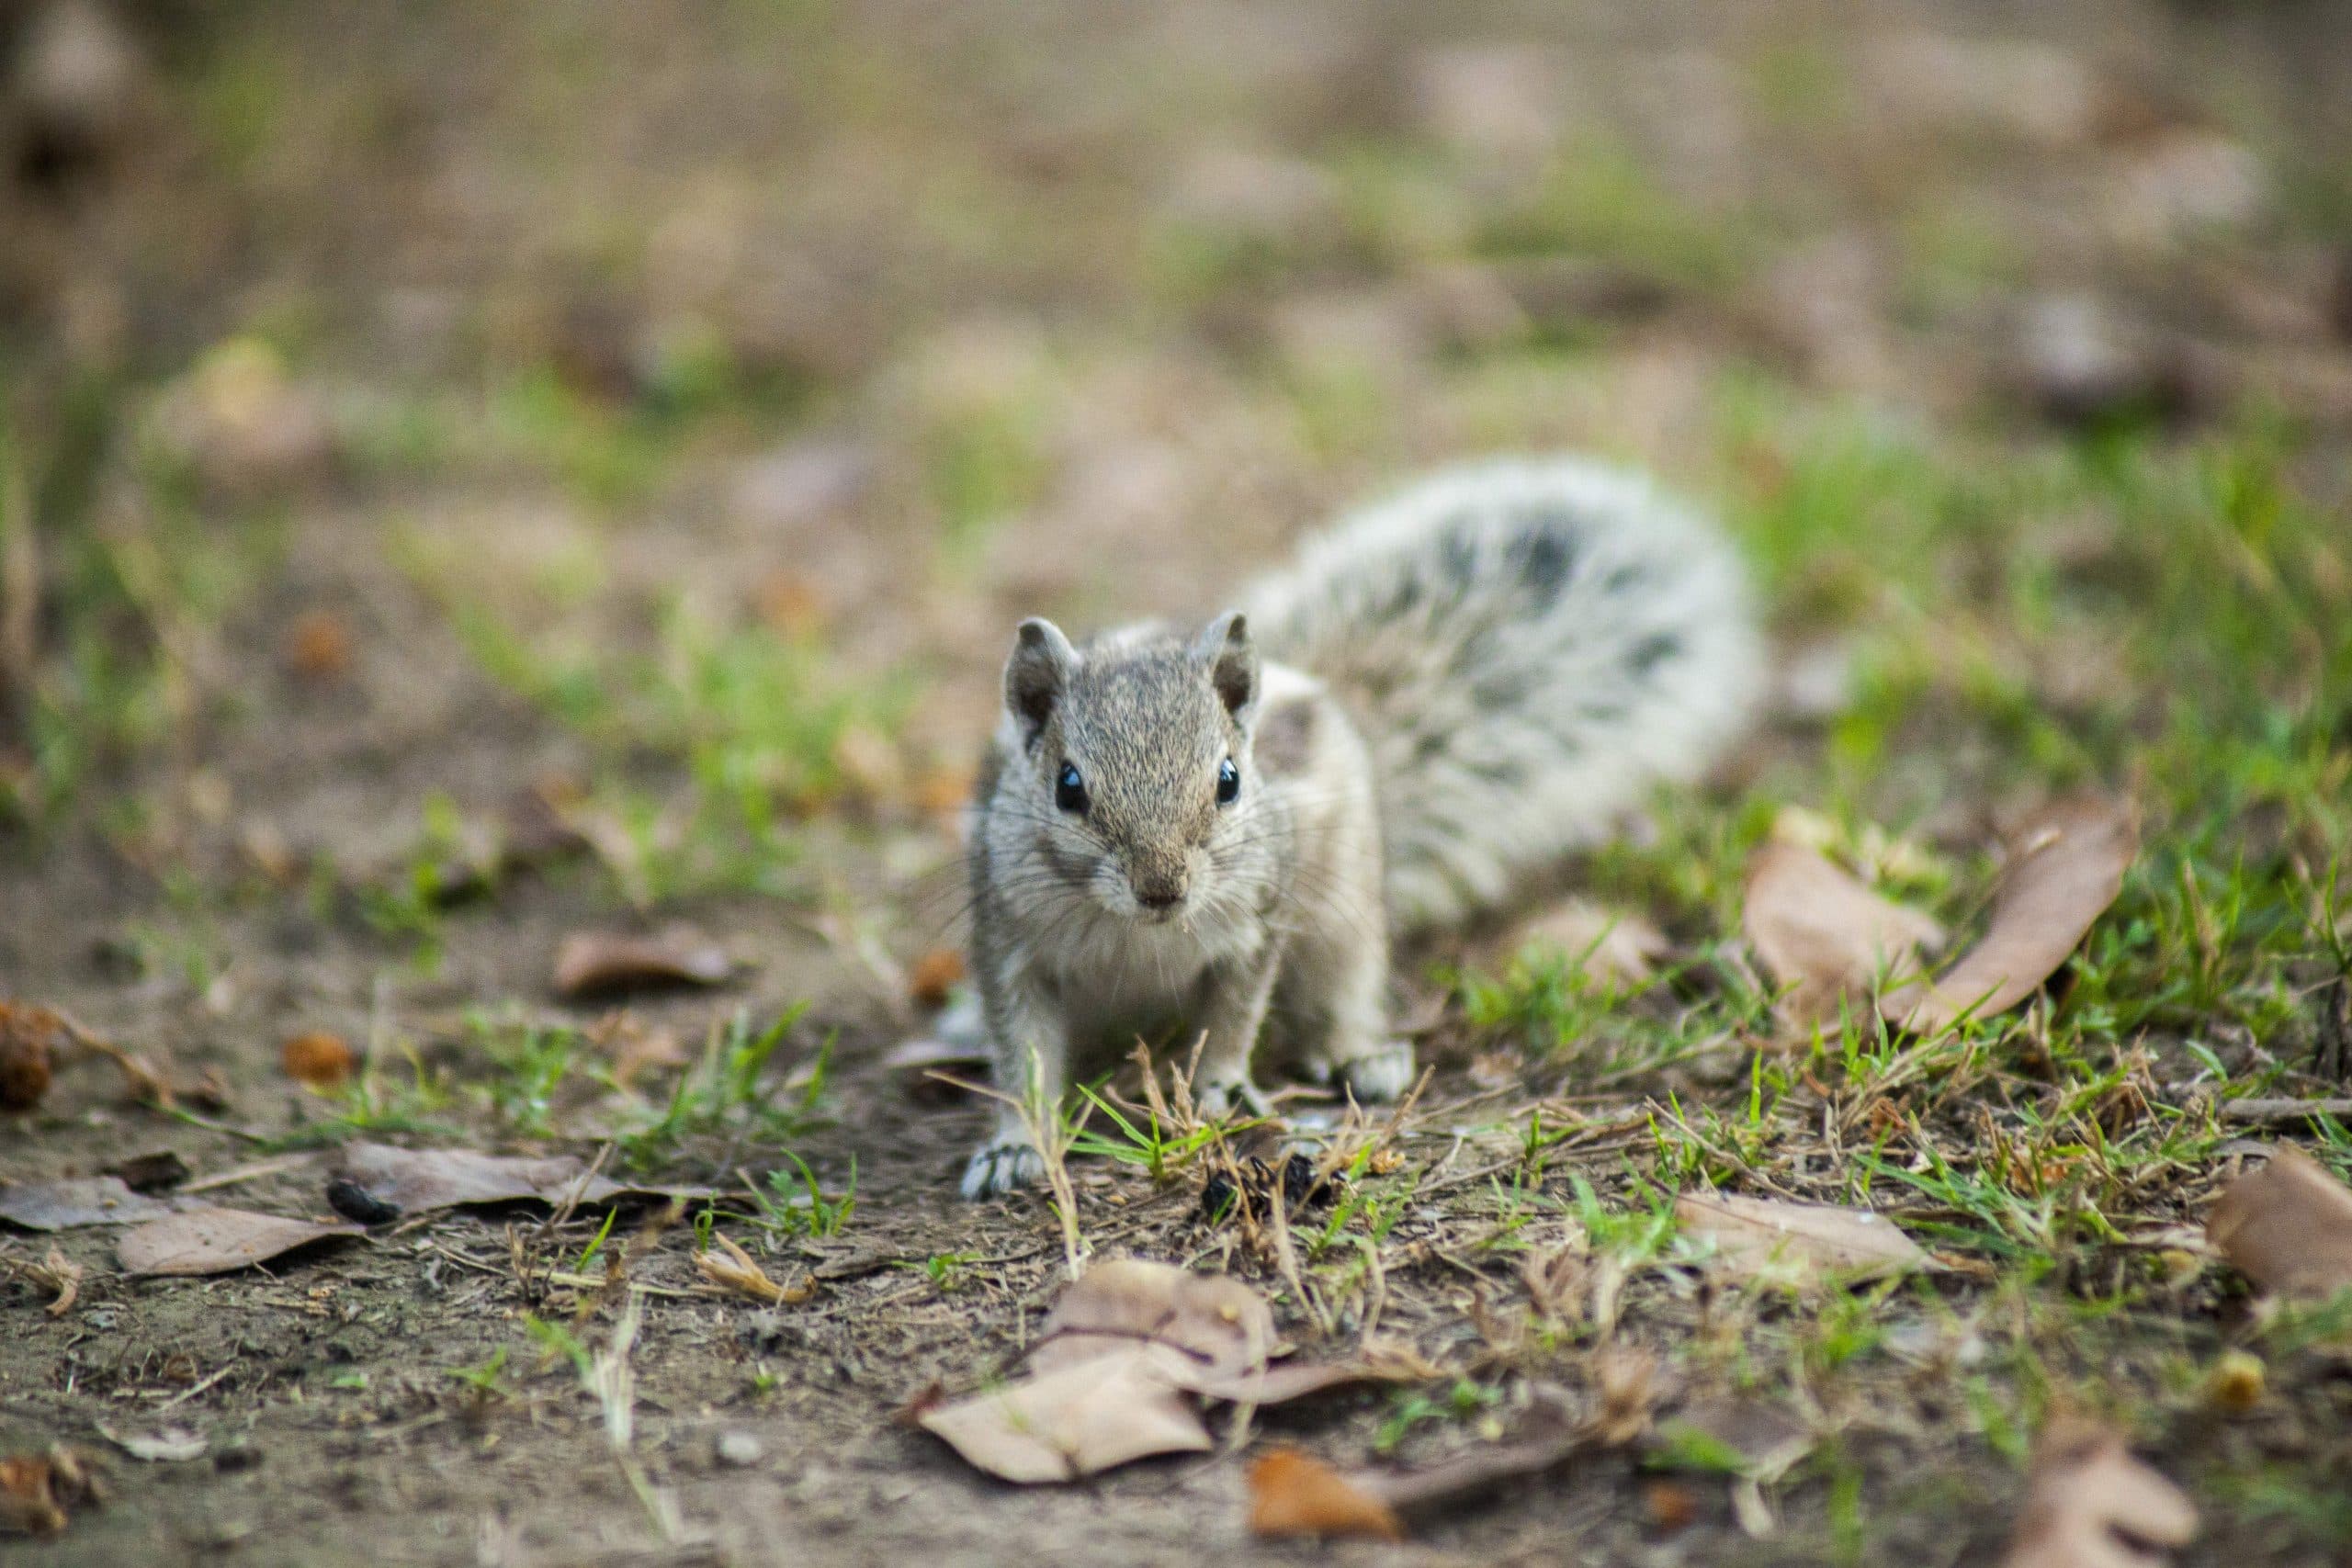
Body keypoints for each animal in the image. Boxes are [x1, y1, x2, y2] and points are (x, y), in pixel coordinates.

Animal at [956, 457, 1761, 1198]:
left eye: (1229, 779)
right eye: (1067, 786)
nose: (1162, 888)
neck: (1142, 936)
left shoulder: (1257, 924)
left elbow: (1234, 1018)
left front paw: (1219, 1086)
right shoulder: (1012, 944)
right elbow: (1022, 1052)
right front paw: (1015, 1143)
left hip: (1344, 917)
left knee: (1345, 986)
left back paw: (1362, 1054)